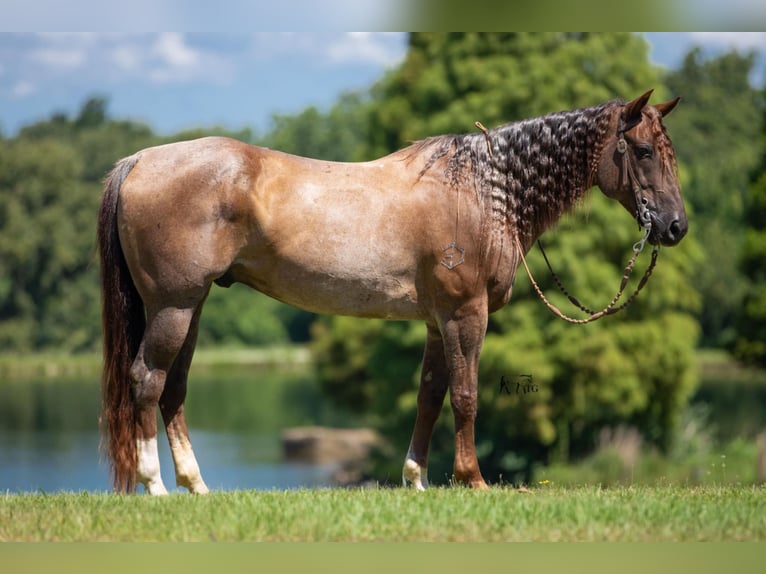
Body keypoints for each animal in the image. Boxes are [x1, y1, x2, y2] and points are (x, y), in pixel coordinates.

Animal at [98, 89, 687, 494]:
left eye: (667, 150)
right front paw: (472, 479)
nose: (676, 226)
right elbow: (466, 396)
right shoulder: (465, 315)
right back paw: (155, 486)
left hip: (190, 308)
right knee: (147, 380)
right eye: (641, 150)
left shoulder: (436, 321)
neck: (483, 190)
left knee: (173, 390)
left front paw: (416, 479)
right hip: (173, 307)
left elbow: (429, 396)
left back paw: (196, 486)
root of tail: (139, 161)